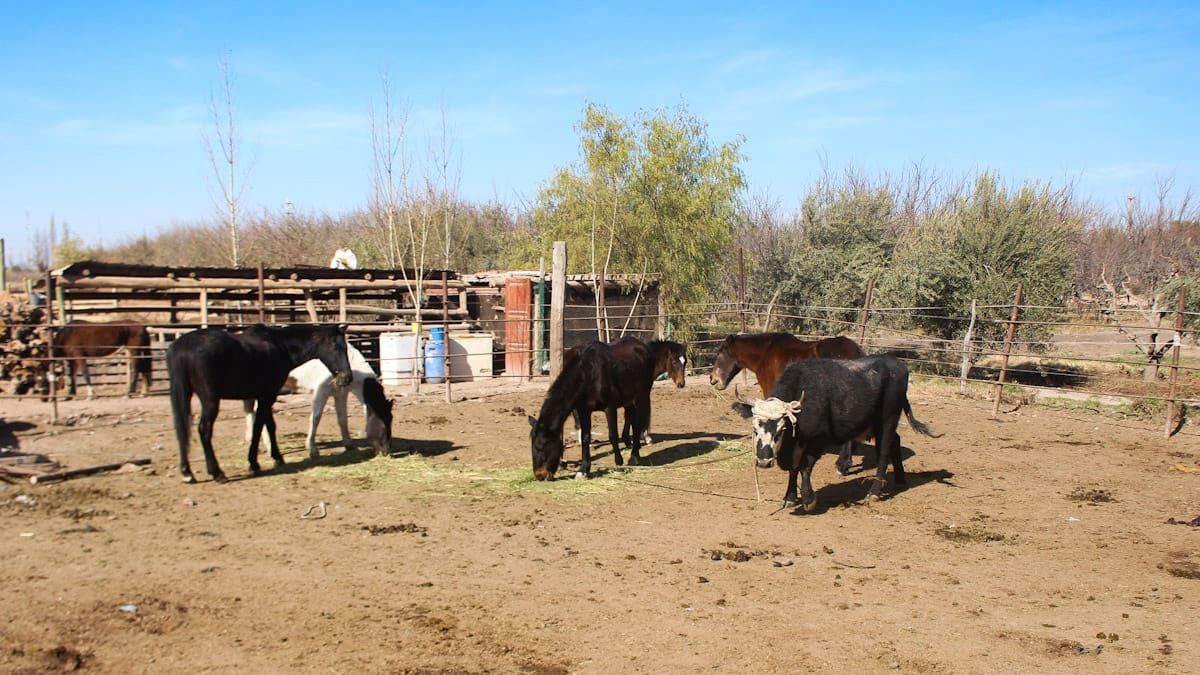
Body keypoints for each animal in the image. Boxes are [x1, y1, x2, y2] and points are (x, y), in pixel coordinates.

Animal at [168, 324, 353, 484]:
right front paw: (254, 464)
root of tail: (183, 346)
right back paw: (217, 473)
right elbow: (259, 426)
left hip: (185, 395)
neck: (280, 347)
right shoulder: (266, 396)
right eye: (336, 347)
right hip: (210, 401)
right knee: (204, 430)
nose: (347, 377)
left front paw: (277, 458)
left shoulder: (266, 396)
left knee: (181, 430)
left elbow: (270, 426)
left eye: (345, 347)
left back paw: (187, 472)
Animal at [244, 342, 394, 457]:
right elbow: (315, 419)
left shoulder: (340, 394)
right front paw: (312, 449)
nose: (385, 452)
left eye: (390, 421)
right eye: (382, 425)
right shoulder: (321, 392)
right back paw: (268, 448)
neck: (349, 364)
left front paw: (349, 445)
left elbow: (342, 420)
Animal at [530, 337, 687, 480]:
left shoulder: (610, 408)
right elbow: (586, 437)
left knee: (637, 423)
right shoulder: (584, 410)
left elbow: (613, 436)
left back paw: (635, 456)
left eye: (542, 447)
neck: (590, 373)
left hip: (642, 395)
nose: (540, 475)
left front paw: (619, 464)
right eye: (533, 447)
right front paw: (583, 470)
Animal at [732, 355, 937, 511]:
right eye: (755, 428)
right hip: (877, 423)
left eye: (781, 429)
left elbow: (804, 467)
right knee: (896, 440)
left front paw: (808, 499)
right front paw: (789, 497)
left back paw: (874, 493)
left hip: (888, 420)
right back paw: (900, 479)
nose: (764, 462)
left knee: (884, 454)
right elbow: (793, 468)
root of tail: (898, 365)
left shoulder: (817, 441)